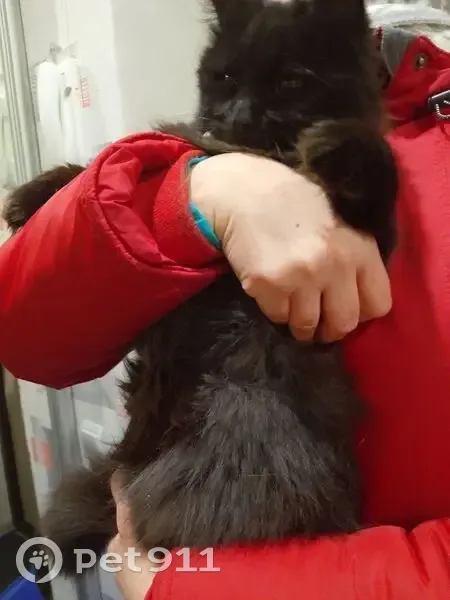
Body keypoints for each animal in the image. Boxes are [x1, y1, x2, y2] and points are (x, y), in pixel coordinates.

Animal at [2, 0, 398, 576]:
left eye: (290, 81)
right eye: (226, 77)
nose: (239, 113)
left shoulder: (375, 242)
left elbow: (376, 168)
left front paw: (336, 145)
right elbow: (116, 165)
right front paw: (36, 192)